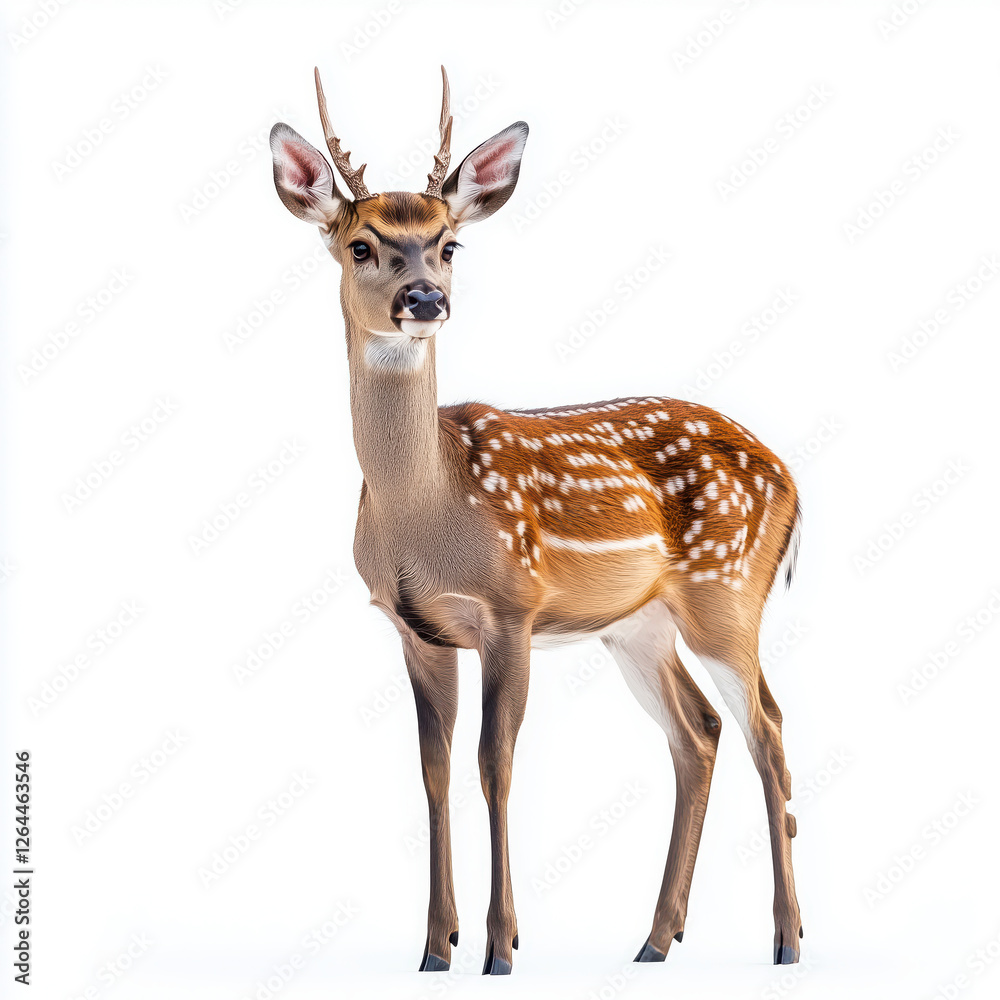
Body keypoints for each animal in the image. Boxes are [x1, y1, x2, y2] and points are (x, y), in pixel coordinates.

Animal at [268, 66, 803, 976]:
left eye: (450, 243)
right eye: (361, 245)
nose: (425, 299)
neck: (428, 510)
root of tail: (792, 476)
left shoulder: (511, 608)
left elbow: (497, 764)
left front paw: (500, 946)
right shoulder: (414, 628)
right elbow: (433, 769)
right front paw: (434, 947)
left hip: (726, 590)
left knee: (766, 723)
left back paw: (787, 939)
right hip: (640, 625)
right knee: (698, 733)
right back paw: (656, 939)